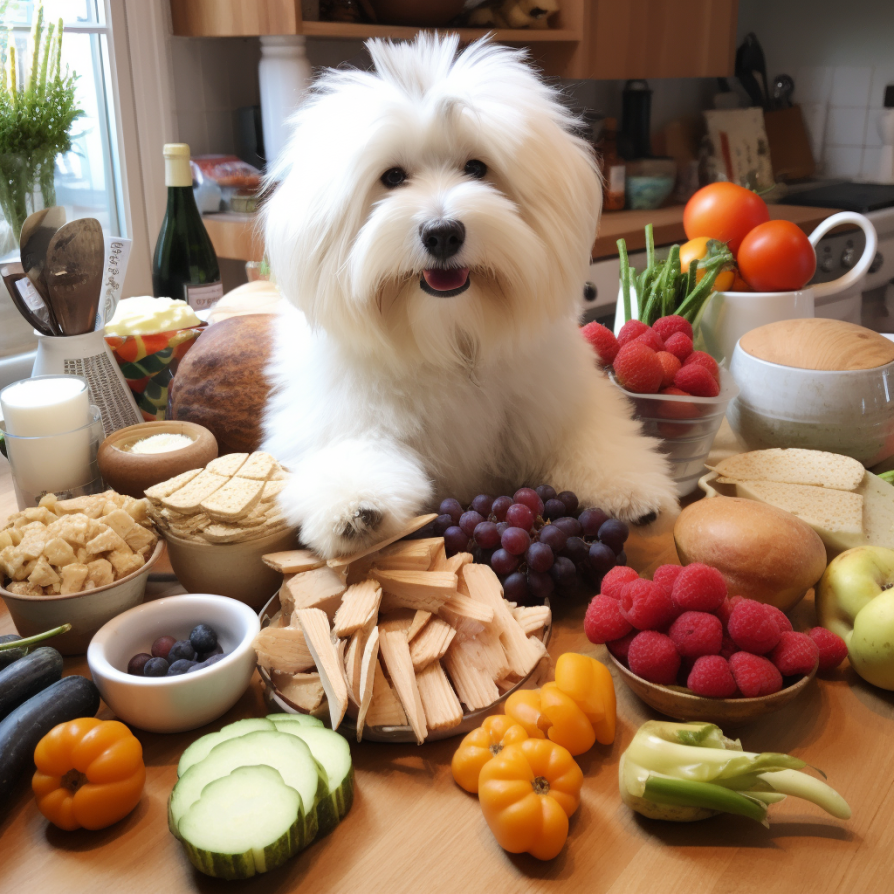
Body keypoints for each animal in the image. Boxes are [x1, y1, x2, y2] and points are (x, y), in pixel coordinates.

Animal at [262, 35, 676, 560]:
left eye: (477, 168)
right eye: (392, 177)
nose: (442, 233)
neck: (453, 333)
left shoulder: (559, 400)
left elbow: (591, 435)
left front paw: (631, 491)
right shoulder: (340, 415)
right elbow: (351, 449)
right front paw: (355, 507)